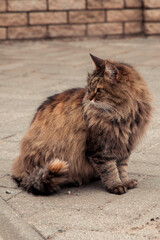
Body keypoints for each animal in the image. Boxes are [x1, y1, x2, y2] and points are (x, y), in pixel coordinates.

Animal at [10, 54, 151, 195]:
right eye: (89, 88)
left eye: (99, 90)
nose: (89, 98)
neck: (125, 115)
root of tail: (23, 170)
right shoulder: (100, 149)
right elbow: (110, 169)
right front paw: (116, 185)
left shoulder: (124, 146)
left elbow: (122, 168)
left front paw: (125, 182)